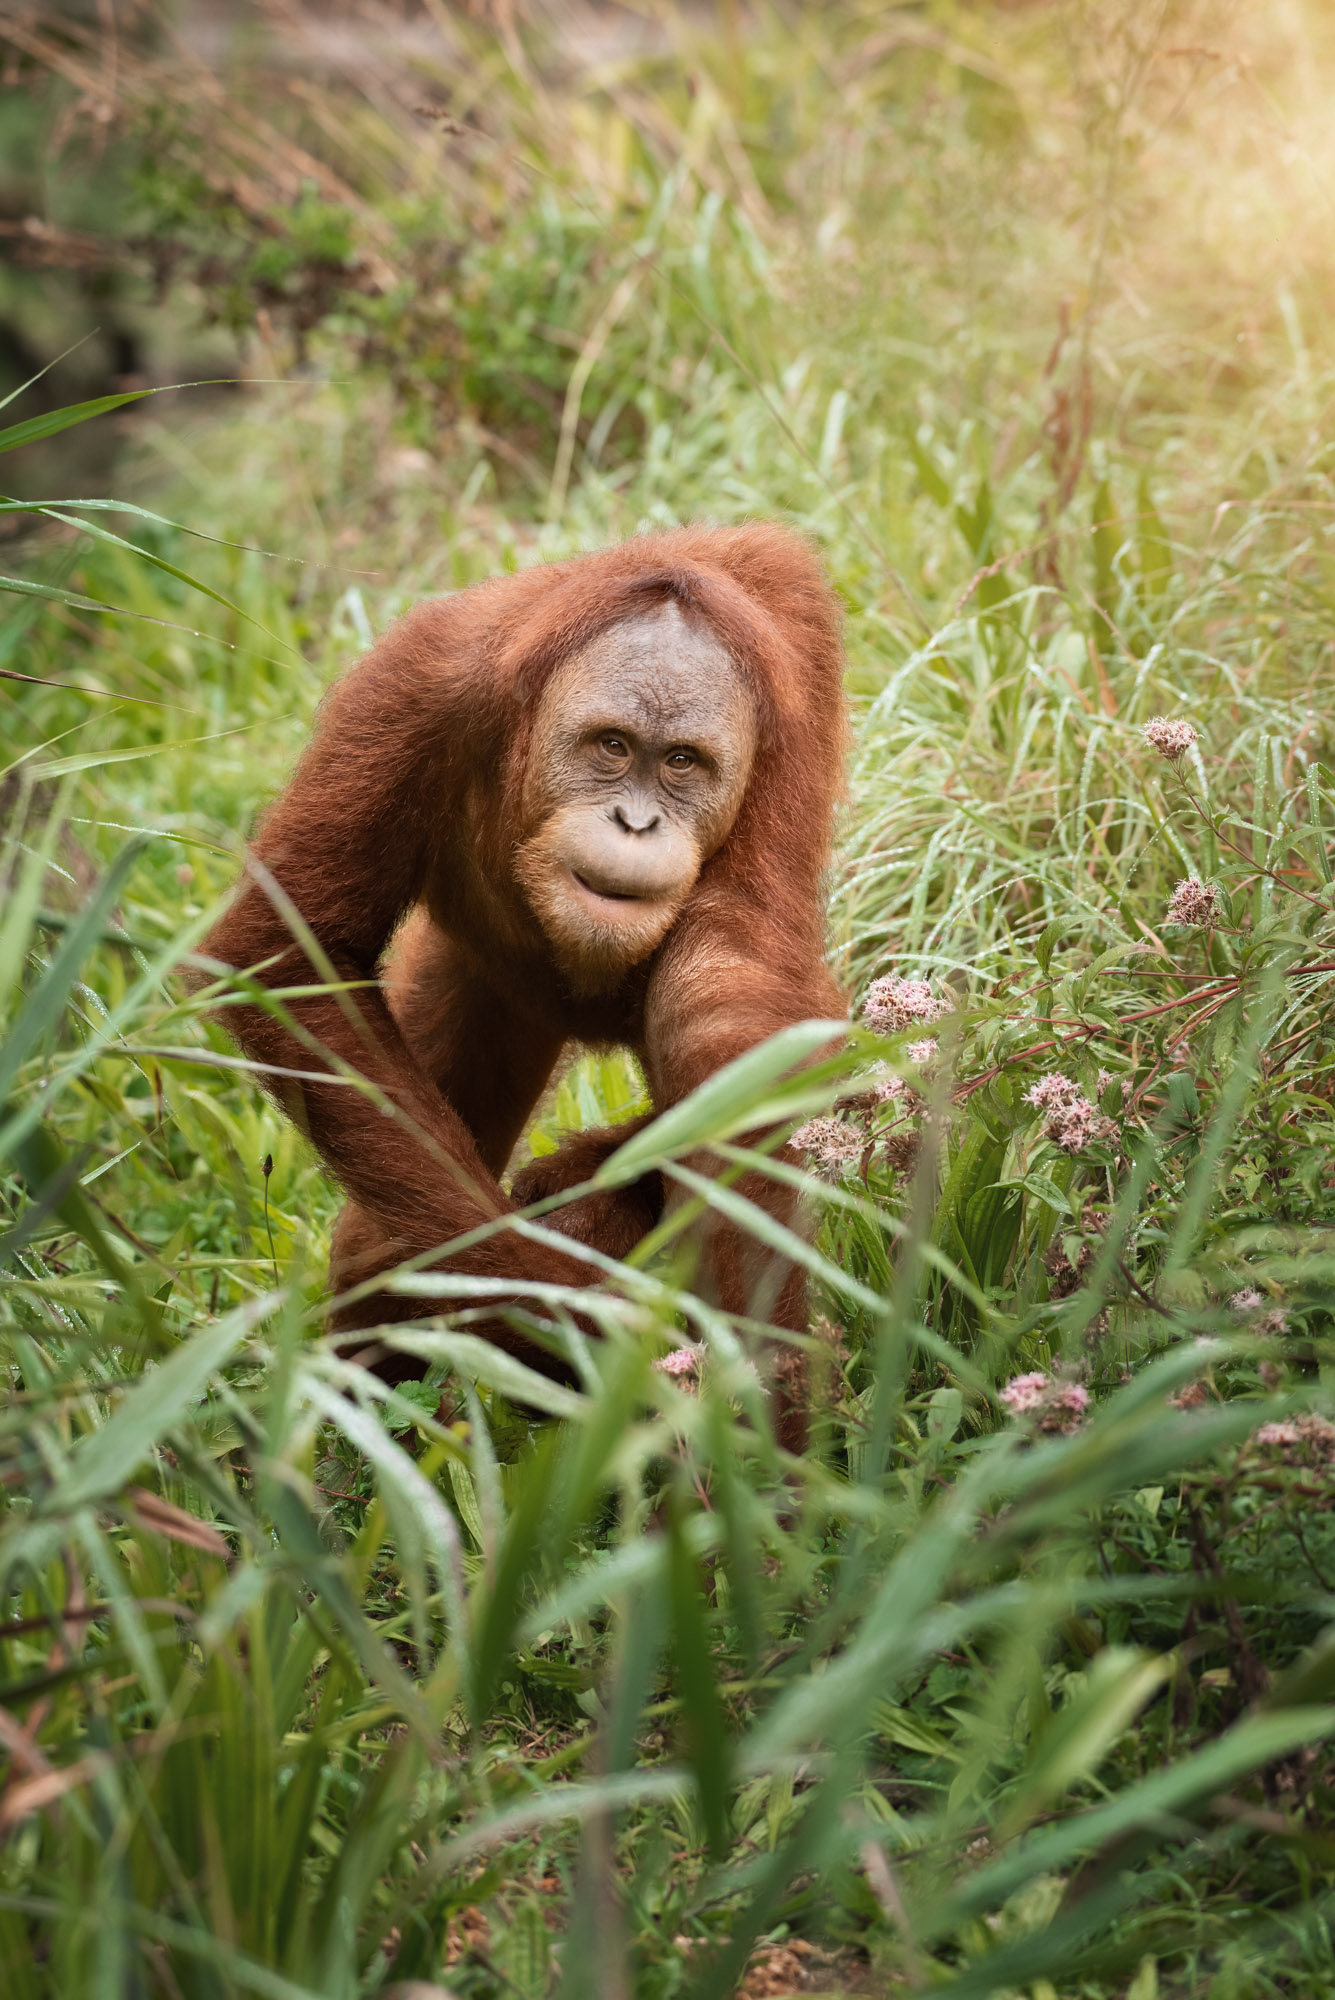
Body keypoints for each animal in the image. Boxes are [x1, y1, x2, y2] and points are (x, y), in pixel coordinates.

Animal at [201, 524, 848, 1447]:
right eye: (612, 746)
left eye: (681, 763)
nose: (636, 822)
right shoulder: (416, 688)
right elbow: (291, 955)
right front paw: (583, 1328)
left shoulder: (785, 746)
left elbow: (726, 1010)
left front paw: (763, 1426)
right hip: (478, 982)